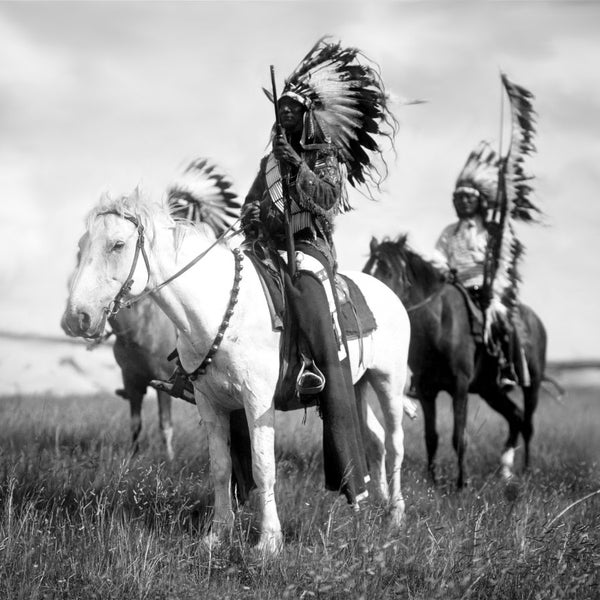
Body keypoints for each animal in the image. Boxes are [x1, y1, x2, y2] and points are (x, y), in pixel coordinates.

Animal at [62, 190, 412, 556]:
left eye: (117, 245)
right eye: (82, 245)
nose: (77, 318)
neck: (218, 309)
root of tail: (388, 293)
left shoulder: (257, 402)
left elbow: (262, 467)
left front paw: (269, 541)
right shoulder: (211, 404)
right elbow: (220, 468)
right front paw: (217, 534)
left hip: (389, 382)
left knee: (395, 442)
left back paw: (395, 514)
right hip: (358, 385)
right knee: (376, 439)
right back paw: (375, 502)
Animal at [360, 234, 548, 488]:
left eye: (388, 271)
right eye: (366, 270)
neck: (439, 324)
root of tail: (536, 322)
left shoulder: (460, 387)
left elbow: (459, 436)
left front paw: (462, 483)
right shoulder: (427, 391)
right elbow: (431, 437)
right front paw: (433, 481)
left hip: (532, 386)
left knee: (527, 424)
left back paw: (526, 470)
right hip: (491, 391)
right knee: (515, 416)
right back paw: (506, 471)